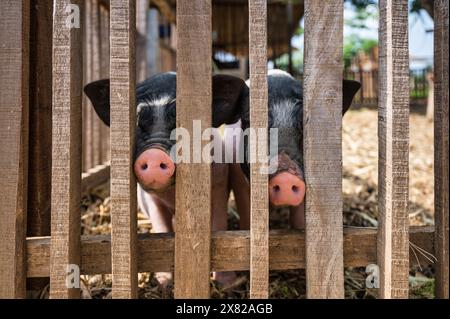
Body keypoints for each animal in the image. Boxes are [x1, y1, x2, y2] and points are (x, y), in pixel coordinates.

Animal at [84, 72, 251, 288]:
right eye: (138, 122)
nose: (154, 155)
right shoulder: (150, 199)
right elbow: (161, 228)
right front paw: (164, 282)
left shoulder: (219, 185)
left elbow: (219, 226)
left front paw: (227, 284)